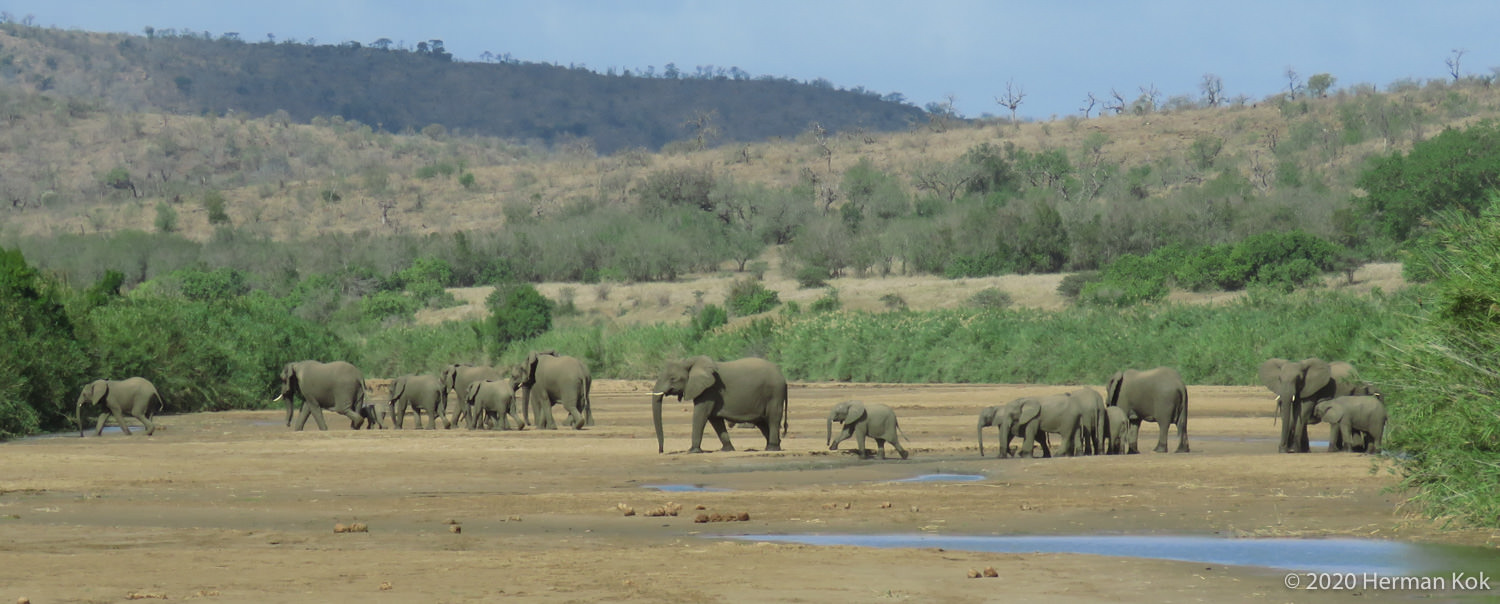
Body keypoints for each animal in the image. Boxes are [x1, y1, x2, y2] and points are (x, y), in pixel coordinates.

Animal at [651, 356, 789, 454]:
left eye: (673, 379)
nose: (661, 451)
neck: (692, 361)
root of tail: (783, 378)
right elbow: (714, 419)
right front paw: (726, 450)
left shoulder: (709, 390)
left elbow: (701, 415)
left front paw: (692, 451)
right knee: (761, 422)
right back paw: (774, 446)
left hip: (775, 393)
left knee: (773, 418)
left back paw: (772, 448)